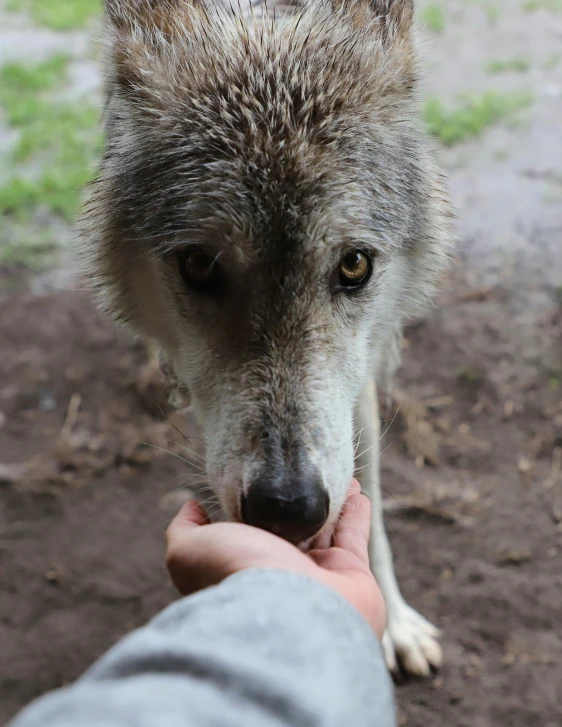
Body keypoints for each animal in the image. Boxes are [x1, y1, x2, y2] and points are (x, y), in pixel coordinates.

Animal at [81, 0, 452, 676]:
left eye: (354, 265)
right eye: (199, 267)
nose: (287, 508)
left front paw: (392, 621)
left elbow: (369, 492)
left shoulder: (358, 377)